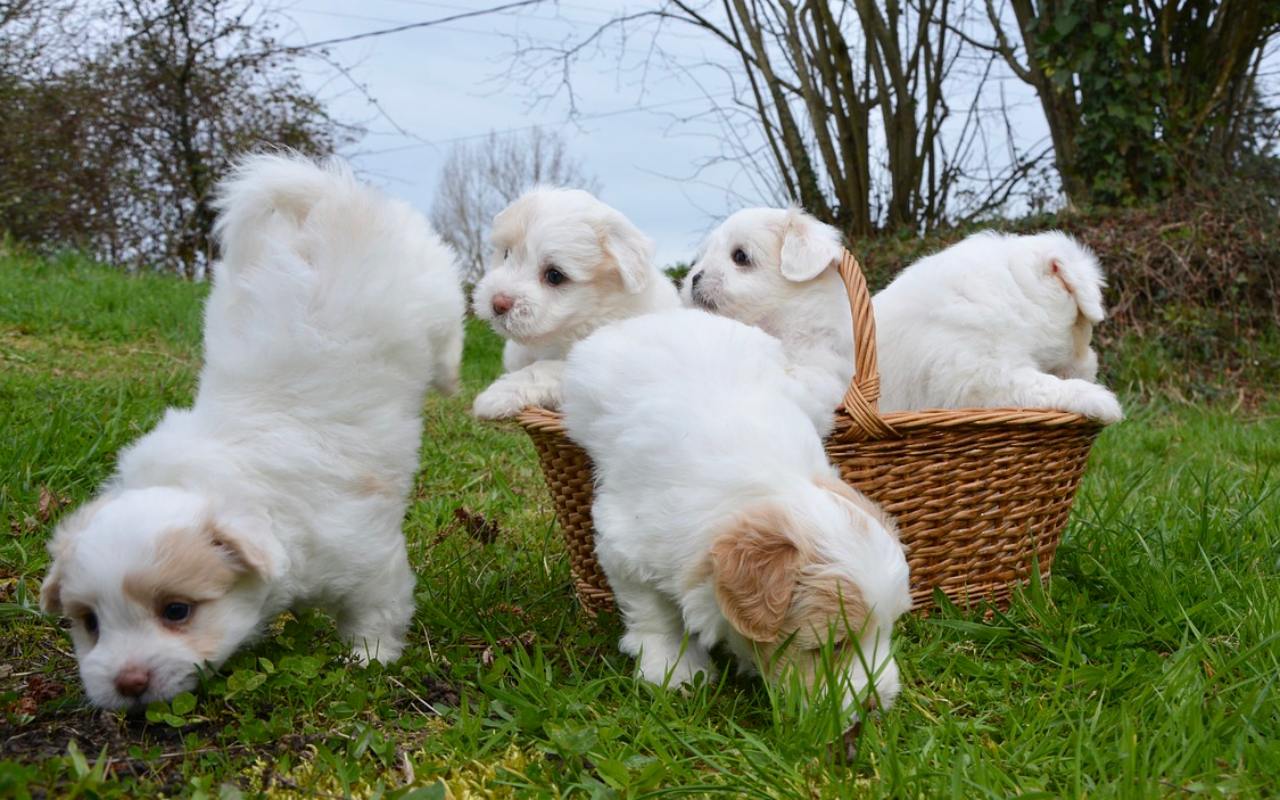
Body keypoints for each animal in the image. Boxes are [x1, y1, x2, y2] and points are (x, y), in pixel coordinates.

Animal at [36, 152, 471, 706]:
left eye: (176, 611)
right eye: (89, 623)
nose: (128, 684)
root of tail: (327, 196)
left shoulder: (368, 557)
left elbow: (377, 610)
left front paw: (368, 659)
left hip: (430, 288)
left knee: (449, 331)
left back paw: (451, 378)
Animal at [880, 229, 1121, 422]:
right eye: (1081, 330)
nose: (1092, 372)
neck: (1015, 294)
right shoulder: (977, 377)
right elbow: (1037, 383)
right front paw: (1099, 398)